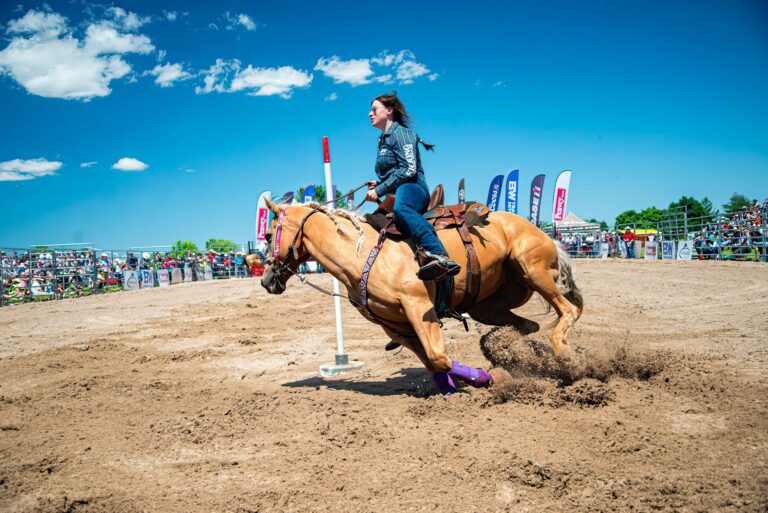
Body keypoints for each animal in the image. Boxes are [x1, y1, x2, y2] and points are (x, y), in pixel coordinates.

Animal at [258, 197, 584, 396]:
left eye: (268, 235)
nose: (265, 279)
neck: (361, 255)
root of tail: (547, 235)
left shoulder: (418, 308)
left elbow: (438, 357)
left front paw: (492, 378)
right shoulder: (395, 326)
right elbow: (434, 363)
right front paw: (452, 390)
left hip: (532, 269)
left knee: (568, 311)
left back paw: (564, 355)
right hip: (489, 306)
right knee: (528, 326)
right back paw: (519, 352)